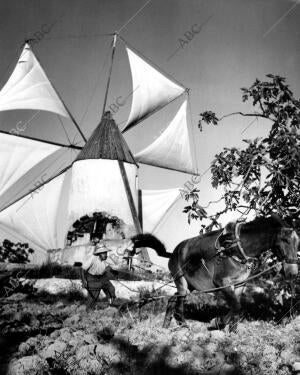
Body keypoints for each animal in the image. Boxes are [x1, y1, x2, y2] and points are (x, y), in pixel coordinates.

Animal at [131, 216, 298, 330]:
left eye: (298, 242)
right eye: (285, 240)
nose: (293, 273)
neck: (235, 247)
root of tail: (173, 253)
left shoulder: (240, 284)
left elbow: (237, 307)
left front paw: (232, 331)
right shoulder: (222, 283)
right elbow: (236, 306)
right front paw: (218, 322)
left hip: (190, 286)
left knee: (173, 299)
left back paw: (166, 326)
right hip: (181, 282)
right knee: (178, 303)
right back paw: (183, 325)